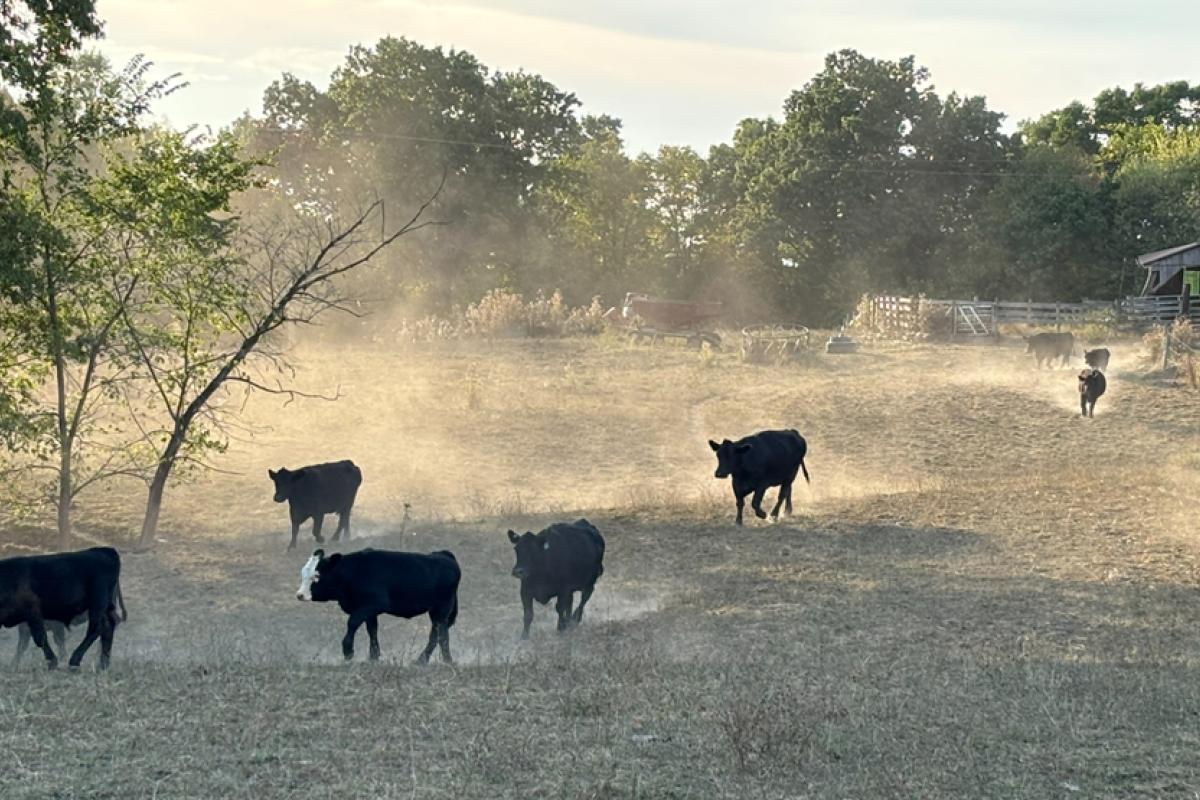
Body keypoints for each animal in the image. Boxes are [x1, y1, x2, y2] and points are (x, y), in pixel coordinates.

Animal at [295, 546, 458, 666]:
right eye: (303, 574)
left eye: (317, 576)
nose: (299, 595)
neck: (353, 572)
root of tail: (444, 554)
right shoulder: (369, 611)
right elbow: (372, 630)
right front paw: (373, 657)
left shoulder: (372, 605)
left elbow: (352, 622)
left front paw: (348, 651)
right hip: (438, 612)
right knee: (440, 633)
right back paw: (436, 660)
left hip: (441, 609)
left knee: (438, 634)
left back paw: (434, 661)